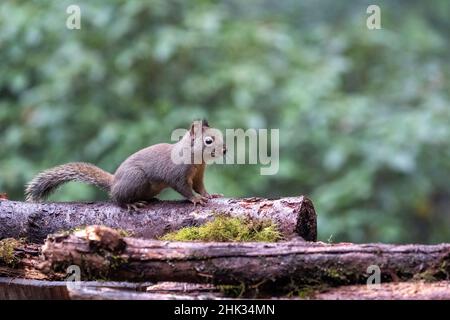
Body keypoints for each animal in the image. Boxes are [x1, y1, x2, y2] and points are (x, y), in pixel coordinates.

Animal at [25, 120, 225, 210]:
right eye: (208, 141)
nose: (224, 150)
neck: (197, 160)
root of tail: (114, 181)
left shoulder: (198, 175)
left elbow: (200, 186)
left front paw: (210, 195)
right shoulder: (177, 174)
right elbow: (184, 188)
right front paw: (196, 199)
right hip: (136, 179)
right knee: (117, 199)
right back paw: (131, 204)